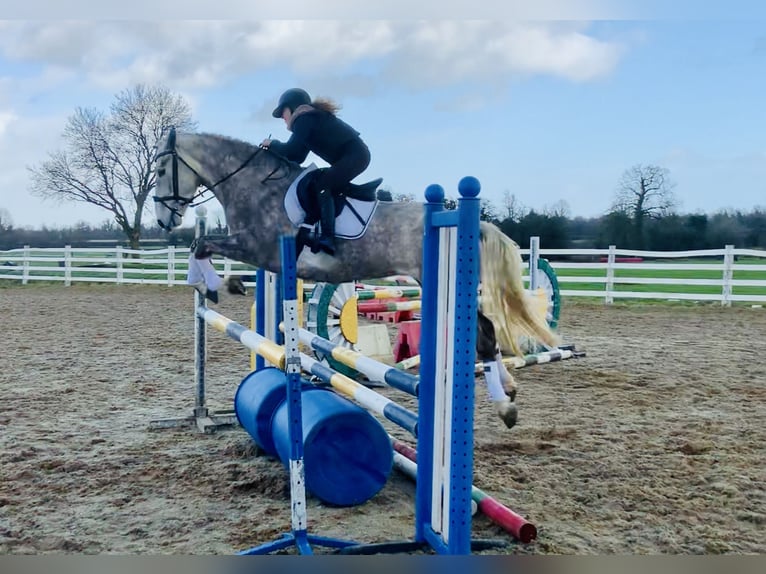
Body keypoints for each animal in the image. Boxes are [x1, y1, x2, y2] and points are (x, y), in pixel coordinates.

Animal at [154, 129, 564, 428]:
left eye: (159, 172)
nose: (163, 220)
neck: (254, 185)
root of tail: (468, 222)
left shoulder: (260, 247)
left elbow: (201, 245)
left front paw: (219, 286)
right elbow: (201, 246)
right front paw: (219, 286)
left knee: (486, 335)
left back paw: (504, 405)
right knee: (485, 336)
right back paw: (508, 393)